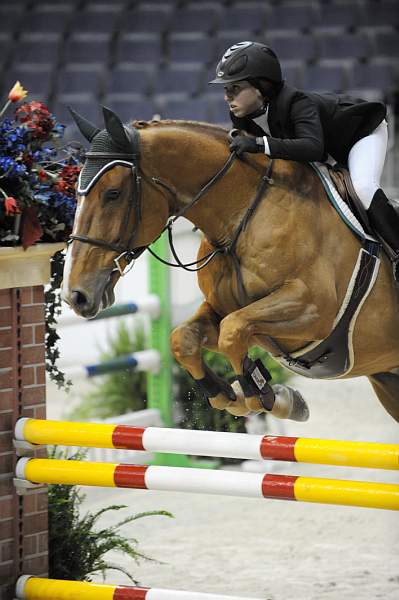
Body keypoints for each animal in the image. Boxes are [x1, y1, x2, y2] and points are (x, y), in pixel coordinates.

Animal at [61, 109, 399, 426]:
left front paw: (265, 396)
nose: (75, 295)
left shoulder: (314, 311)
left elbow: (233, 331)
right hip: (387, 380)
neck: (242, 217)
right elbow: (185, 338)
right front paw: (230, 395)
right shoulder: (221, 307)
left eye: (112, 193)